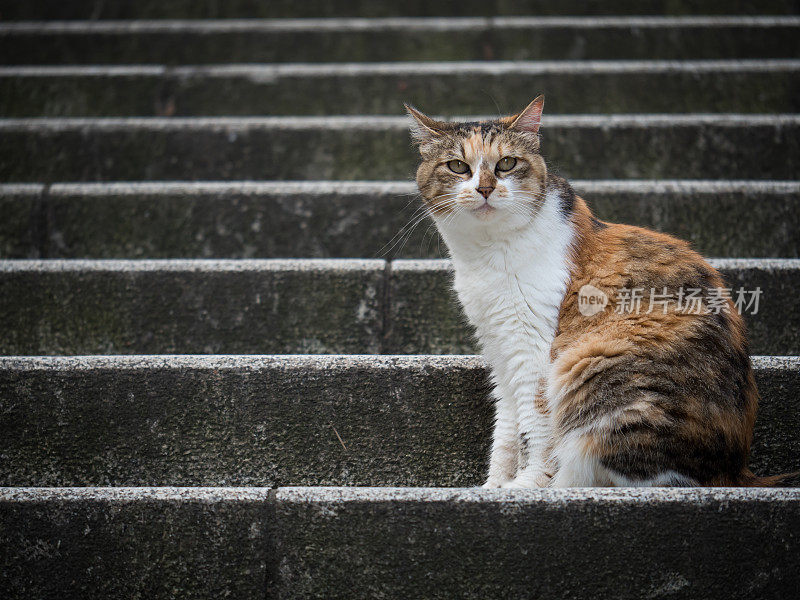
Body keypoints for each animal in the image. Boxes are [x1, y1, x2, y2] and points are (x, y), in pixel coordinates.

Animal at [406, 95, 780, 488]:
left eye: (506, 163)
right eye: (458, 166)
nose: (485, 189)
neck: (486, 252)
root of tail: (736, 471)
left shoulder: (533, 346)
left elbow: (534, 427)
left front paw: (524, 486)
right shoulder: (500, 348)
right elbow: (507, 429)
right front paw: (494, 486)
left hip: (594, 363)